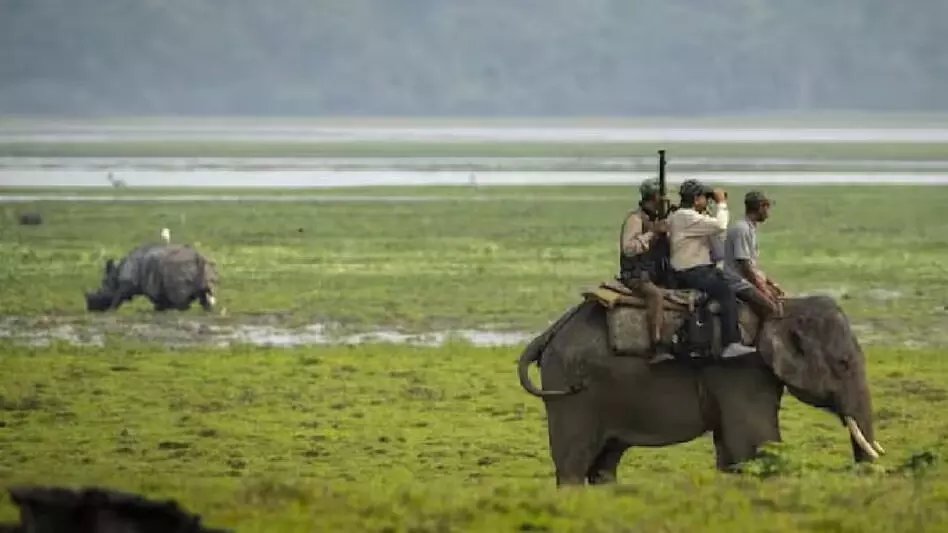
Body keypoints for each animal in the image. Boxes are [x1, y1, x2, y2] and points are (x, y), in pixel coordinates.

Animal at [520, 294, 880, 484]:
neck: (783, 307)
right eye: (844, 363)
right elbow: (757, 442)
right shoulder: (740, 370)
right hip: (571, 392)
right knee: (573, 464)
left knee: (604, 464)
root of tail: (550, 333)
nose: (864, 472)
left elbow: (732, 452)